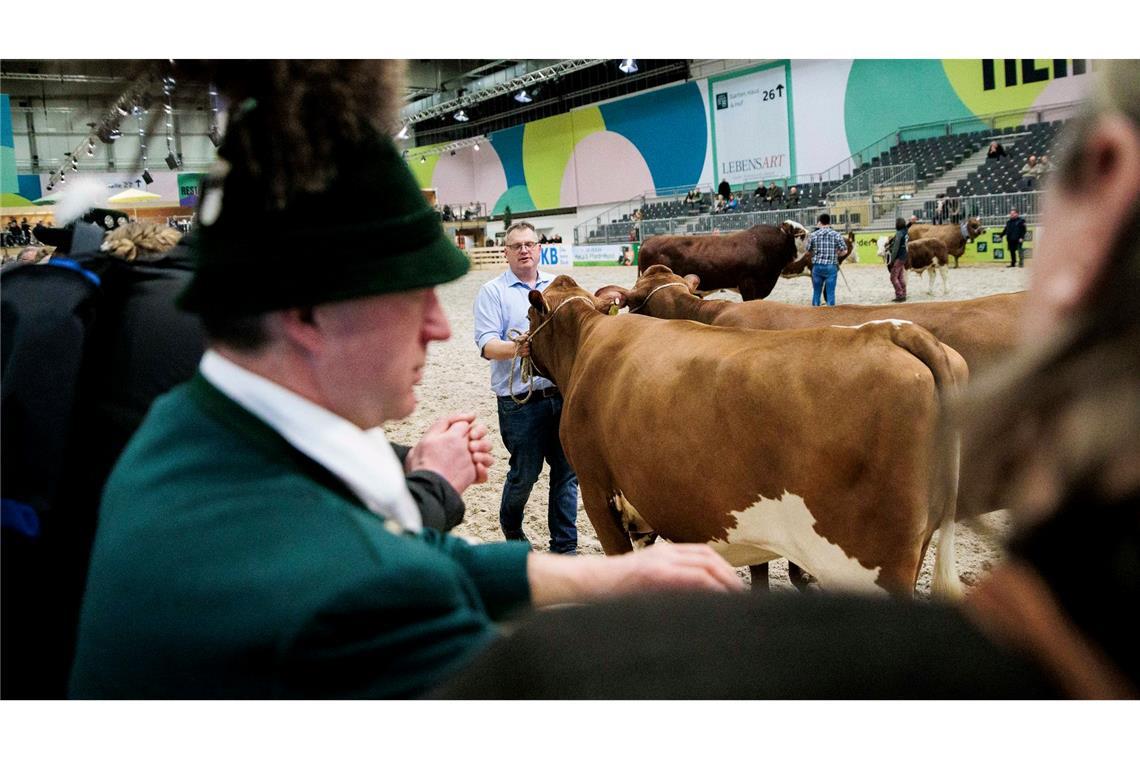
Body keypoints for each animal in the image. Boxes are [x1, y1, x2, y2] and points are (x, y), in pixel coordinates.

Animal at [522, 273, 962, 601]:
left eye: (529, 314)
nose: (518, 342)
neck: (588, 342)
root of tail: (892, 331)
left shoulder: (596, 489)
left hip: (866, 565)